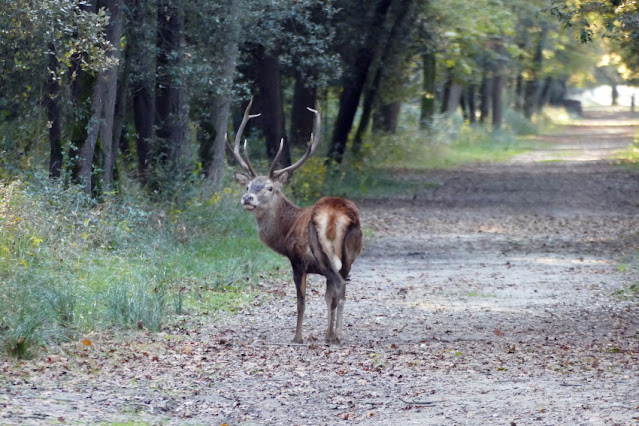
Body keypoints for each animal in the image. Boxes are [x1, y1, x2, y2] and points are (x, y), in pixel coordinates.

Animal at [230, 99, 362, 342]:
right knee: (342, 289)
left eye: (270, 188)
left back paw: (334, 336)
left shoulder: (298, 260)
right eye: (248, 186)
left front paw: (298, 337)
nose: (247, 198)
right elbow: (327, 298)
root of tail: (338, 215)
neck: (285, 231)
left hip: (320, 251)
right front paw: (325, 332)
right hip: (350, 254)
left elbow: (301, 301)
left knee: (339, 286)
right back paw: (335, 334)